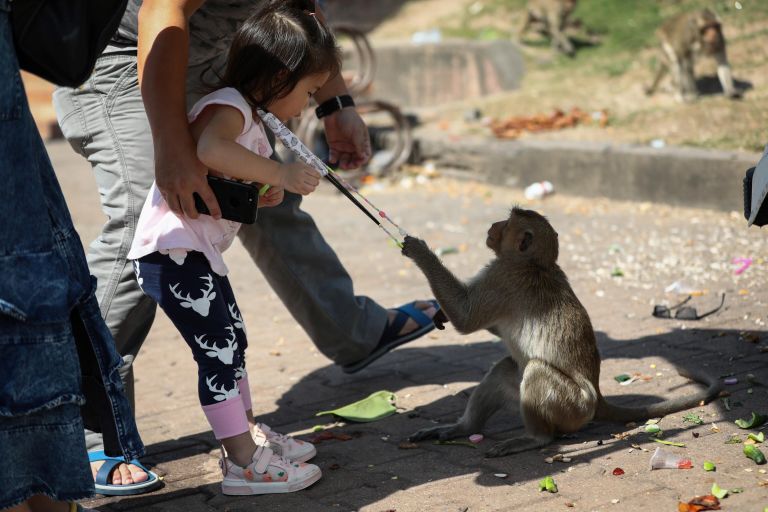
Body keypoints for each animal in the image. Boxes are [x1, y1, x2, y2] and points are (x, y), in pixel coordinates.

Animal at [401, 207, 721, 458]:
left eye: (506, 222)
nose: (492, 225)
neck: (535, 264)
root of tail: (598, 398)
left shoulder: (503, 276)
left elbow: (466, 319)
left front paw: (419, 251)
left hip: (571, 408)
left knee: (535, 371)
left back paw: (535, 438)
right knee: (505, 369)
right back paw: (464, 428)